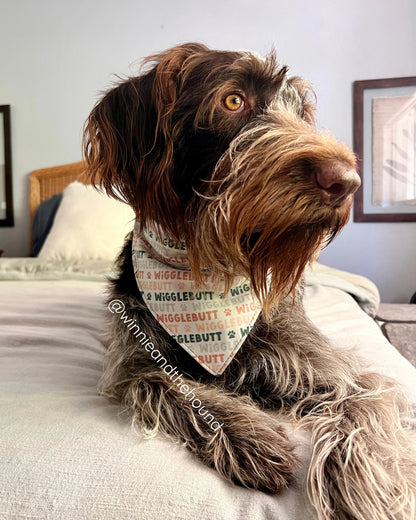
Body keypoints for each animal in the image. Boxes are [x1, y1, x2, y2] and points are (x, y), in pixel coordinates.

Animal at [83, 43, 416, 520]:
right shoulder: (132, 362)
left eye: (301, 113)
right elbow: (169, 383)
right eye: (233, 100)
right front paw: (249, 436)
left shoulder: (327, 365)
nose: (347, 181)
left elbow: (365, 399)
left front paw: (366, 487)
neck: (209, 269)